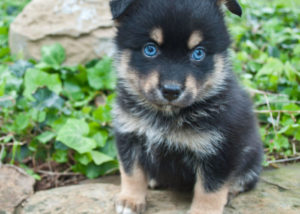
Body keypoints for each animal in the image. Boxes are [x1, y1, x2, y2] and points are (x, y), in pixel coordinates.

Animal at [109, 0, 262, 213]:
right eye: (150, 49)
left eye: (198, 53)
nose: (171, 91)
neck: (167, 115)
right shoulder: (130, 134)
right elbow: (132, 173)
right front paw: (130, 200)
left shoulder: (221, 150)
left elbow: (210, 189)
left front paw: (204, 211)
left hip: (252, 155)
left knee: (245, 179)